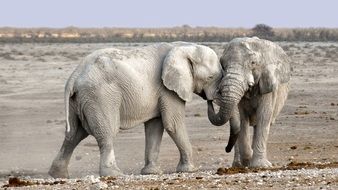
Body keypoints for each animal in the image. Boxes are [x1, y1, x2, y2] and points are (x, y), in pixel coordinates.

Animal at [47, 41, 222, 178]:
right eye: (211, 77)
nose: (210, 100)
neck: (183, 47)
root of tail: (74, 76)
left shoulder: (160, 92)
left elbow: (155, 127)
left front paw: (151, 173)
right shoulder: (168, 89)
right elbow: (173, 124)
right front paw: (190, 170)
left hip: (79, 101)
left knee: (74, 134)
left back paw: (58, 175)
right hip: (100, 96)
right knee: (106, 132)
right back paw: (115, 174)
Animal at [209, 37, 290, 168]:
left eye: (253, 63)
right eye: (222, 64)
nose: (212, 99)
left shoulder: (268, 85)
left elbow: (264, 116)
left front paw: (260, 166)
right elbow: (242, 119)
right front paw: (248, 160)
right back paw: (238, 165)